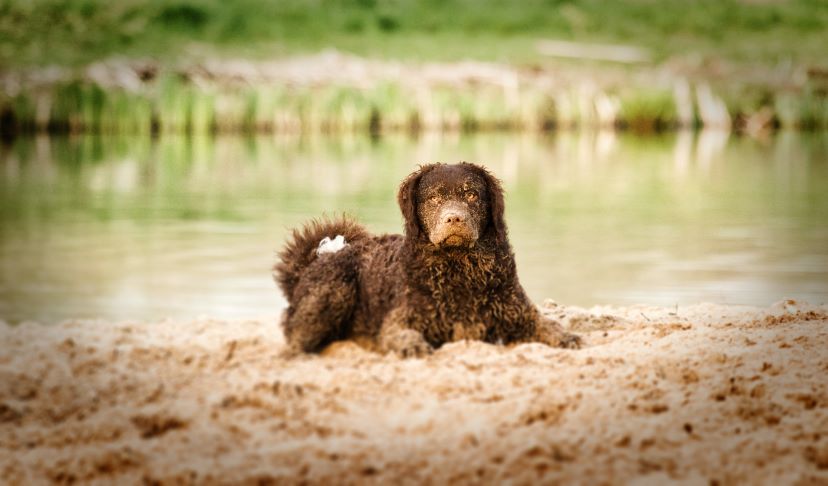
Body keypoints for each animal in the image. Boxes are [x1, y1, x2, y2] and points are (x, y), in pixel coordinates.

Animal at [274, 163, 584, 356]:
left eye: (472, 194)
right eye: (434, 198)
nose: (454, 218)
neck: (460, 271)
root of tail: (314, 263)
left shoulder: (518, 312)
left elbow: (547, 325)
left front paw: (565, 336)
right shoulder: (400, 320)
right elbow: (403, 335)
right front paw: (412, 346)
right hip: (334, 290)